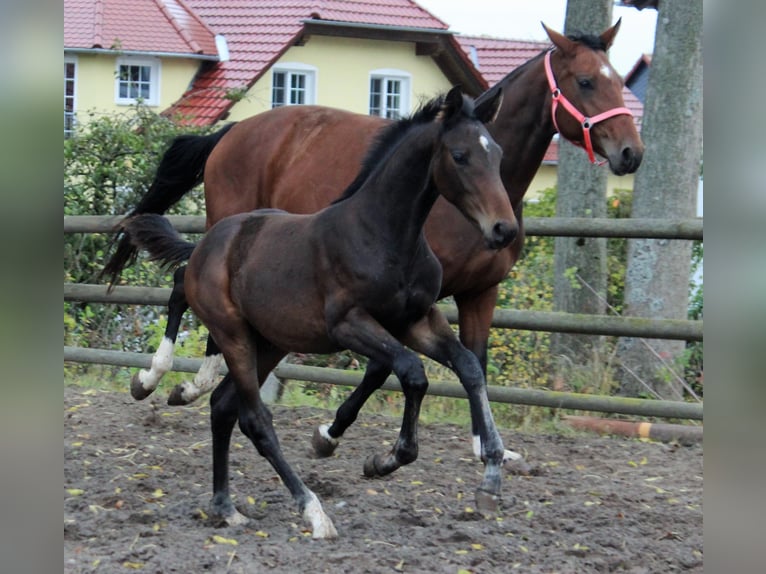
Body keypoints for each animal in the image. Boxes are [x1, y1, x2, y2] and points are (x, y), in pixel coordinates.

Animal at [118, 86, 516, 540]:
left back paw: (225, 506)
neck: (384, 235)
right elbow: (412, 372)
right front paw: (387, 458)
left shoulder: (416, 320)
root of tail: (206, 247)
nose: (504, 229)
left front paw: (490, 477)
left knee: (223, 406)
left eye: (497, 154)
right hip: (234, 334)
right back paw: (312, 510)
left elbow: (468, 366)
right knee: (253, 417)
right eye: (460, 155)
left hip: (268, 343)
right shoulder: (348, 324)